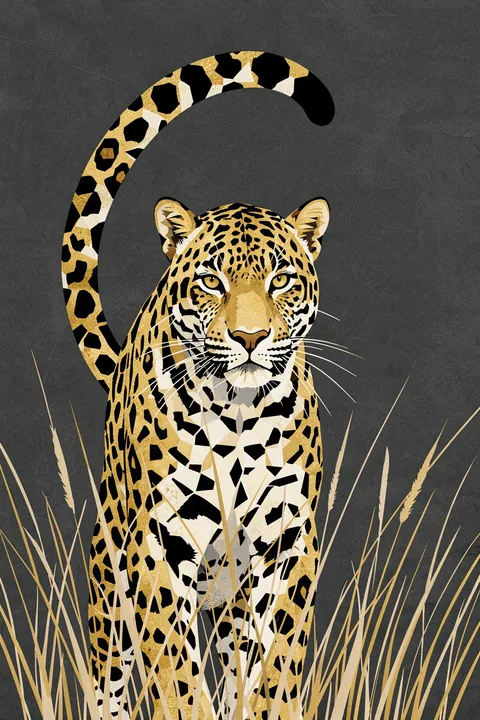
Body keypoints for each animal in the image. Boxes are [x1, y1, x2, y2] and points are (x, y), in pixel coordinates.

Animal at [61, 51, 334, 719]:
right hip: (109, 578)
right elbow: (173, 662)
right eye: (212, 281)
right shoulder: (159, 541)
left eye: (281, 280)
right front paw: (189, 708)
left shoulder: (289, 538)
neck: (237, 415)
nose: (250, 337)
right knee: (111, 676)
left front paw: (269, 707)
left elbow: (280, 652)